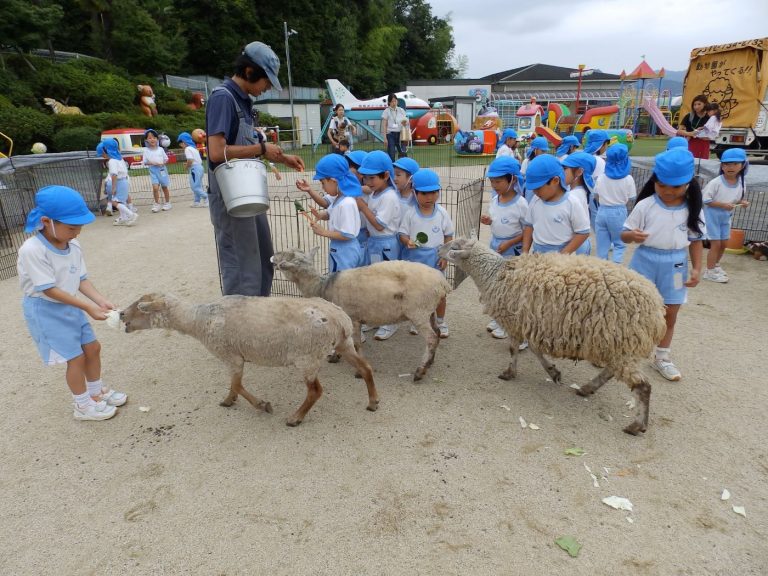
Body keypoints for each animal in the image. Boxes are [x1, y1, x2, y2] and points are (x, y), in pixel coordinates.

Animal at [121, 294, 380, 426]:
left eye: (141, 307)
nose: (121, 313)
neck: (197, 320)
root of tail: (341, 319)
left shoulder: (231, 355)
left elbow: (237, 384)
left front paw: (261, 405)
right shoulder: (235, 357)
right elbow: (234, 385)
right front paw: (229, 400)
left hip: (308, 356)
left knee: (315, 391)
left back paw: (295, 418)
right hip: (343, 344)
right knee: (366, 368)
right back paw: (373, 402)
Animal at [270, 245, 450, 380]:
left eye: (285, 257)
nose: (273, 256)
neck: (321, 287)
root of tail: (442, 282)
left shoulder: (353, 319)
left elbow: (356, 344)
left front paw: (359, 369)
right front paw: (335, 357)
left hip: (419, 311)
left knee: (431, 338)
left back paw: (420, 370)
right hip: (429, 311)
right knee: (437, 333)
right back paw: (430, 362)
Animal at [440, 236, 668, 434]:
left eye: (454, 247)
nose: (439, 249)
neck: (494, 274)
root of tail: (657, 308)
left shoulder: (516, 322)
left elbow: (515, 349)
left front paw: (510, 373)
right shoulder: (530, 323)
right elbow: (534, 350)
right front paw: (553, 372)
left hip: (623, 341)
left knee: (642, 386)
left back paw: (637, 425)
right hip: (619, 345)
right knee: (613, 371)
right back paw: (587, 388)